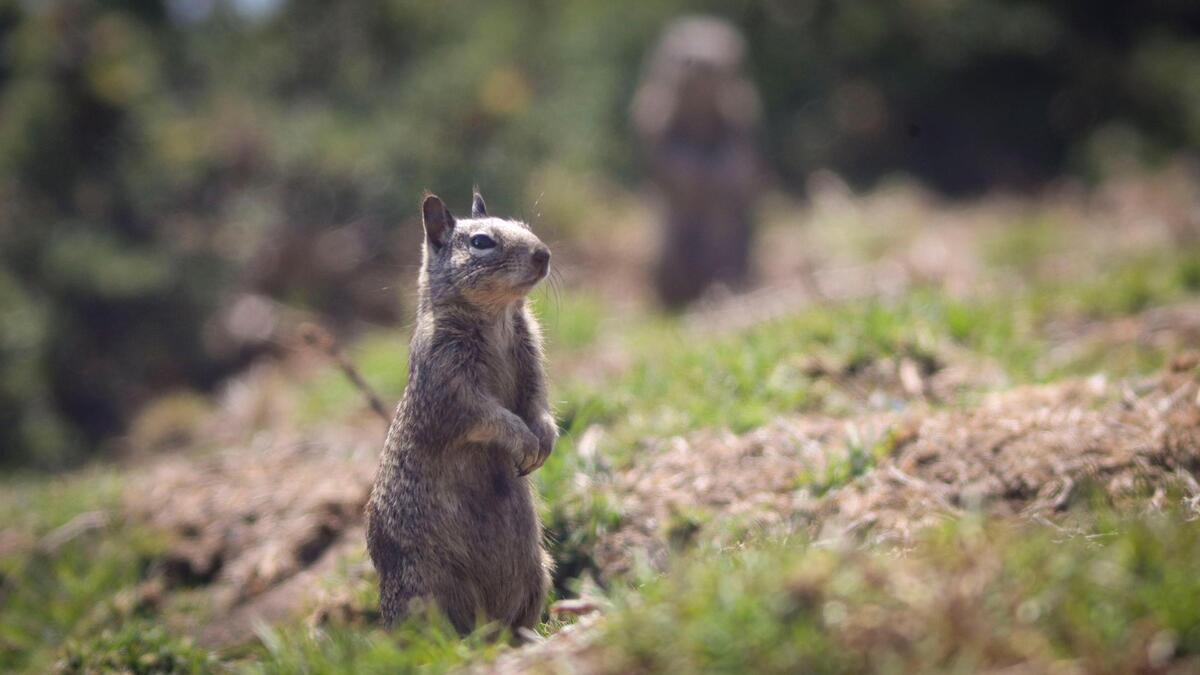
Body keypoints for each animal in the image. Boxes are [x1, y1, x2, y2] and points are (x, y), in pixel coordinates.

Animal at [366, 191, 556, 636]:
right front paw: (523, 440)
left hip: (538, 570)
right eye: (481, 242)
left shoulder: (531, 356)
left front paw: (544, 439)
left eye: (524, 225)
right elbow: (487, 416)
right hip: (432, 585)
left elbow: (537, 402)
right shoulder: (452, 385)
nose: (543, 254)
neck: (497, 315)